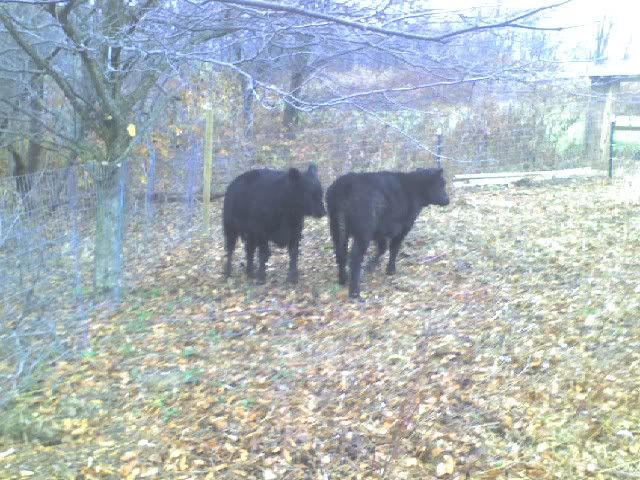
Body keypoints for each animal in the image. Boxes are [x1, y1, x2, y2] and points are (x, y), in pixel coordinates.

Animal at [326, 168, 450, 298]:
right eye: (441, 184)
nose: (447, 200)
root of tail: (344, 185)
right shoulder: (403, 227)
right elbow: (394, 248)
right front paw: (390, 270)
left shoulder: (380, 231)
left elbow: (382, 248)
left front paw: (371, 265)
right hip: (363, 231)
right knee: (355, 256)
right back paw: (354, 291)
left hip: (337, 227)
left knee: (340, 253)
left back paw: (343, 279)